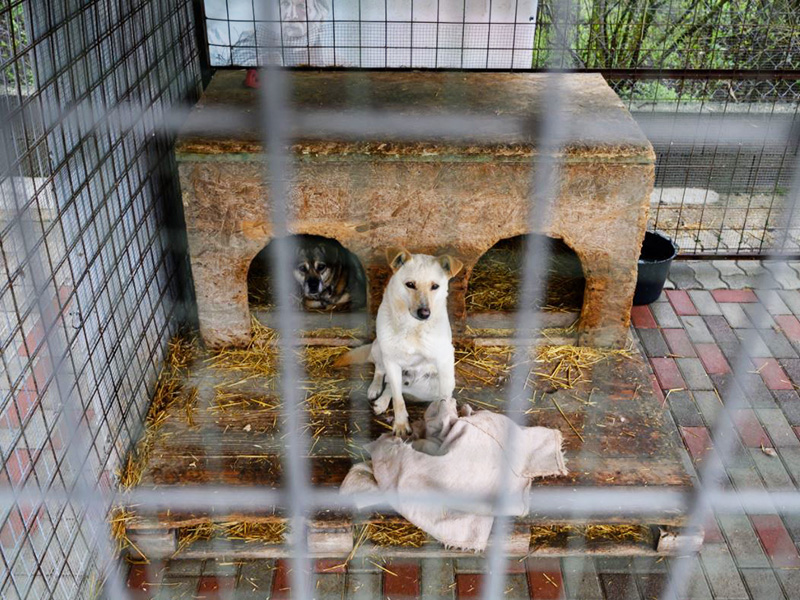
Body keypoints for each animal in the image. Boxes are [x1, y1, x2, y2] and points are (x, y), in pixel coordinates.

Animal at [335, 249, 463, 436]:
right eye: (410, 284)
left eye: (435, 286)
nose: (425, 313)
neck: (412, 327)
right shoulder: (391, 361)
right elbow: (398, 399)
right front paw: (401, 425)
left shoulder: (444, 360)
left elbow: (445, 400)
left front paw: (446, 421)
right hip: (378, 348)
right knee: (382, 374)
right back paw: (376, 391)